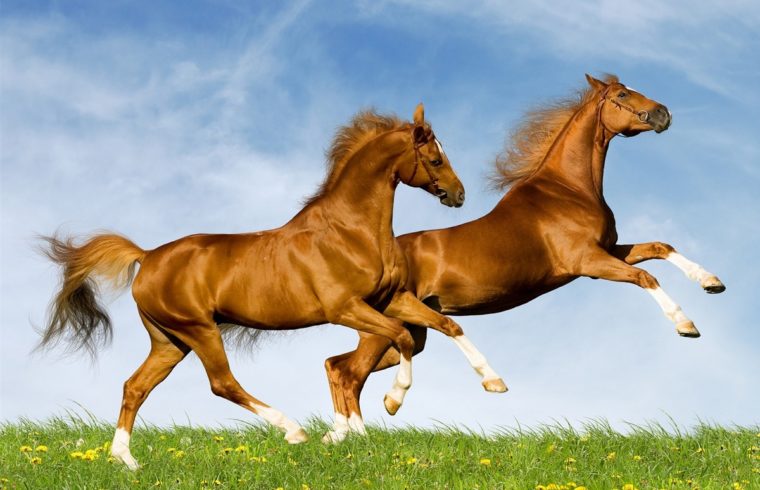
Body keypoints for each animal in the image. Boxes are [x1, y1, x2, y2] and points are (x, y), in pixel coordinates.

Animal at [38, 104, 506, 469]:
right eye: (435, 159)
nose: (459, 195)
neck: (350, 231)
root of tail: (148, 256)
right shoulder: (345, 308)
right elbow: (401, 339)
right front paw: (390, 404)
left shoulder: (391, 299)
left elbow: (447, 326)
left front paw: (494, 382)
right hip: (198, 330)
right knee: (222, 383)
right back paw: (293, 430)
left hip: (169, 340)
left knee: (135, 387)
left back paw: (126, 460)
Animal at [323, 75, 725, 432]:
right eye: (623, 95)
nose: (663, 113)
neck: (569, 190)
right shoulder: (589, 262)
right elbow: (646, 276)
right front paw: (686, 325)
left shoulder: (610, 250)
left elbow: (661, 247)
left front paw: (711, 282)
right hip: (385, 330)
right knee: (348, 373)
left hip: (408, 332)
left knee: (337, 365)